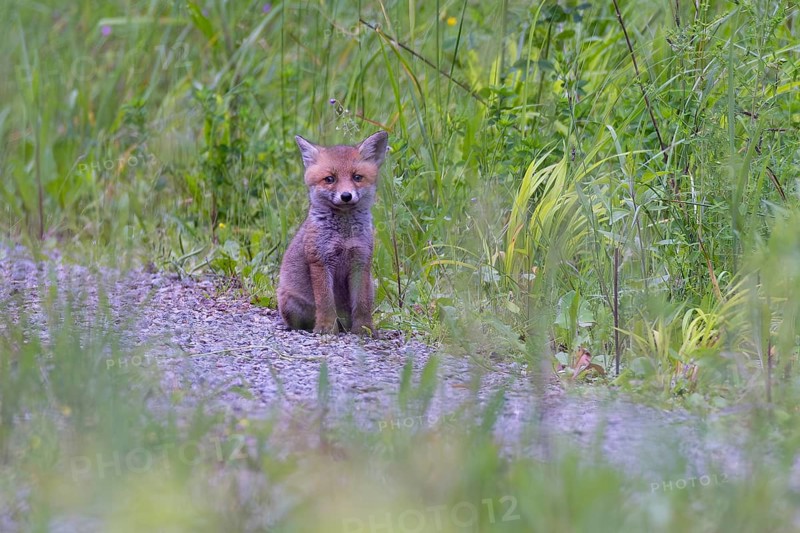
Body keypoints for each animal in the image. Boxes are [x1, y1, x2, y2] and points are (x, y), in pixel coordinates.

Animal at [277, 131, 389, 335]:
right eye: (330, 179)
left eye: (357, 177)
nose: (346, 196)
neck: (344, 237)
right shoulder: (320, 261)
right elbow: (326, 303)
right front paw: (325, 327)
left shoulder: (361, 261)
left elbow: (362, 304)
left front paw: (364, 329)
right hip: (290, 303)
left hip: (371, 286)